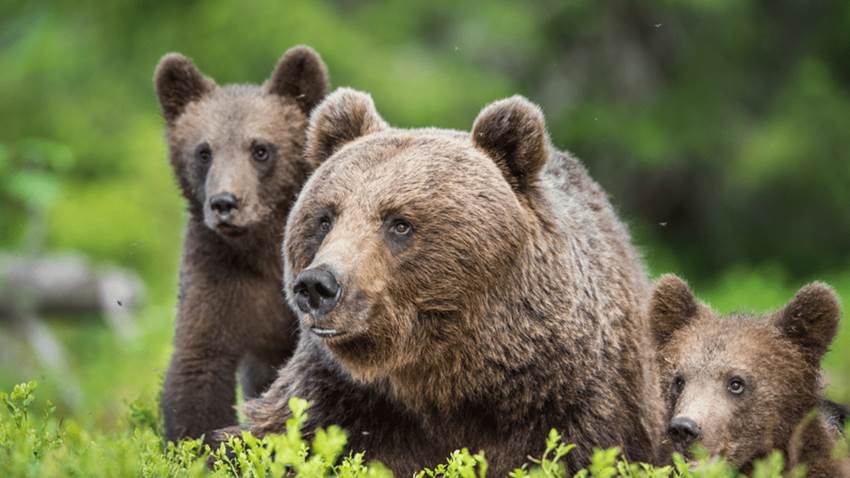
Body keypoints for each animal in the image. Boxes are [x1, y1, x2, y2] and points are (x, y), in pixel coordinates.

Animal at [154, 45, 329, 442]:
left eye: (261, 149)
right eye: (204, 151)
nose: (224, 203)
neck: (263, 251)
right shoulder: (218, 273)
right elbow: (199, 363)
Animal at [215, 88, 666, 476]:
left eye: (399, 223)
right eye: (325, 217)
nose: (318, 285)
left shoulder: (576, 403)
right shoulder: (337, 398)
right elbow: (258, 438)